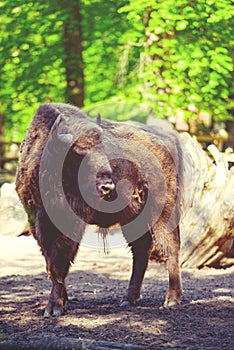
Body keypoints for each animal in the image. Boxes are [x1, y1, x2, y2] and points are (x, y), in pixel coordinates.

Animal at [16, 102, 185, 318]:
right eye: (80, 154)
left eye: (103, 149)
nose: (108, 186)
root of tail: (168, 142)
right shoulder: (37, 224)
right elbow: (51, 263)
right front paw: (62, 301)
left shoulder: (71, 224)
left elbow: (60, 263)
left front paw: (54, 307)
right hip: (132, 217)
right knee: (141, 250)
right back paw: (128, 299)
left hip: (163, 212)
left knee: (170, 247)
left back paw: (171, 299)